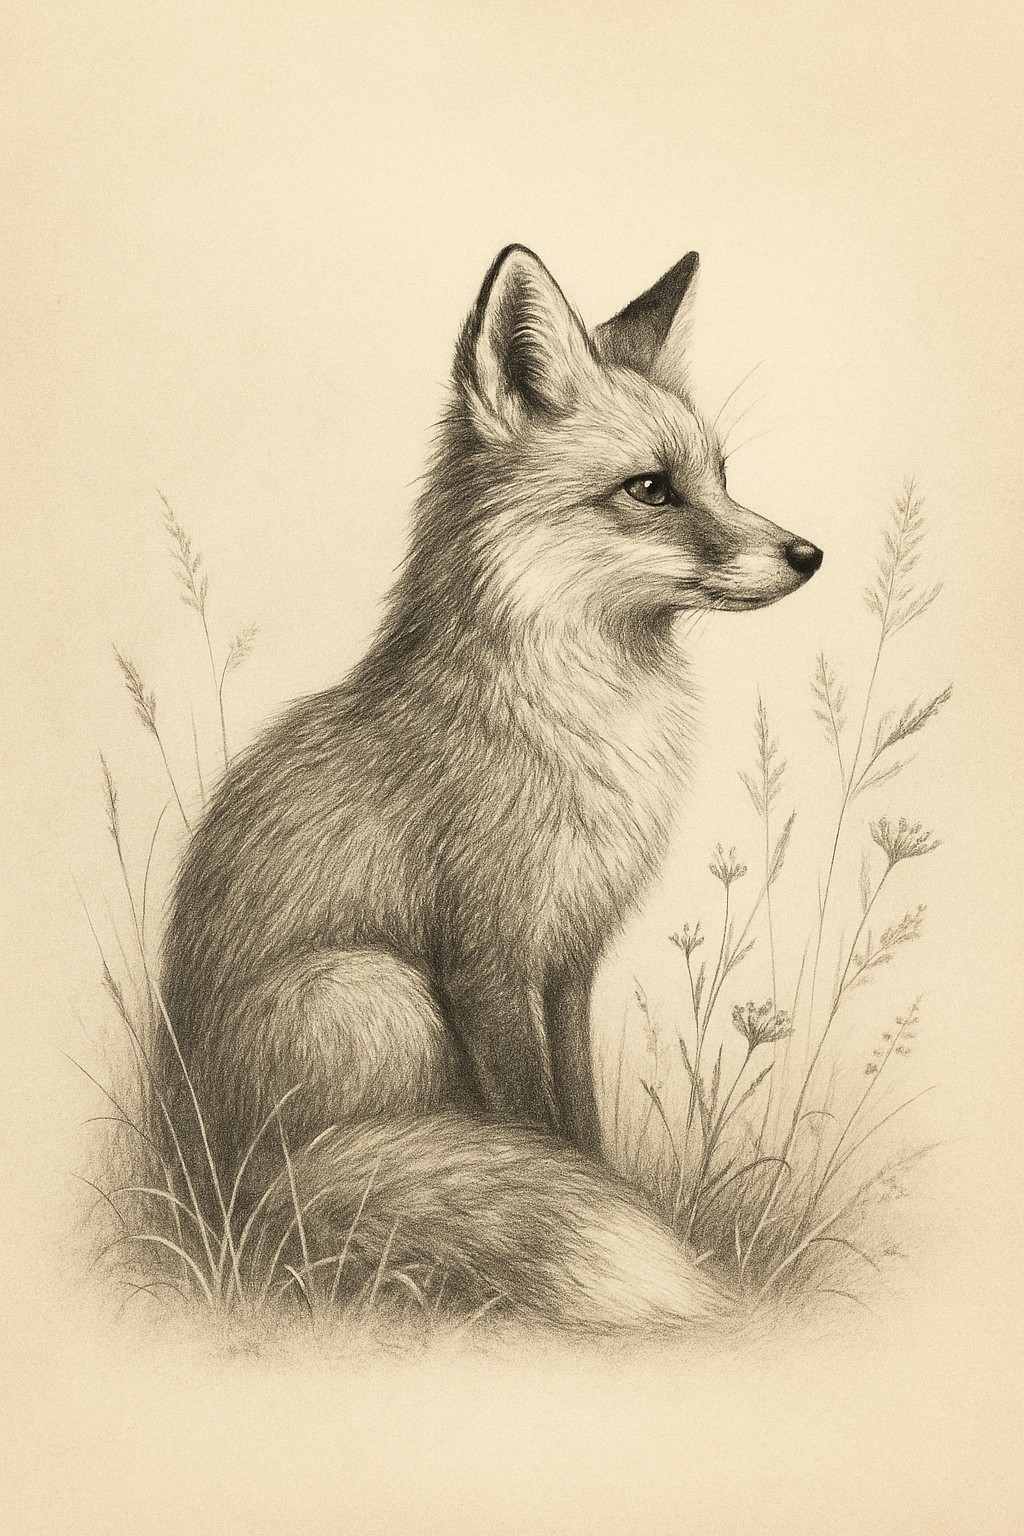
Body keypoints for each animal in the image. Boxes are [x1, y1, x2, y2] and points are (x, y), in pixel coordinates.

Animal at [157, 245, 822, 1332]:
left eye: (722, 477)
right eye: (651, 489)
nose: (808, 554)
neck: (579, 729)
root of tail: (200, 1180)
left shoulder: (569, 959)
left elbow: (577, 1122)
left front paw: (610, 1194)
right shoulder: (485, 959)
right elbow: (531, 1121)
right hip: (378, 991)